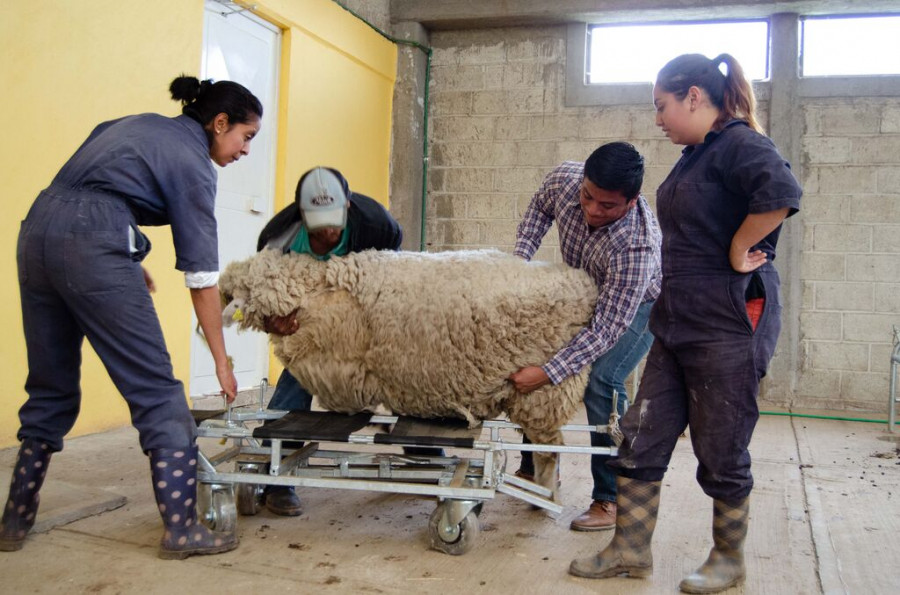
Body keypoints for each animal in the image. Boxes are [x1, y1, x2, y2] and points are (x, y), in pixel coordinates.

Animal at [217, 248, 596, 498]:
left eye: (241, 293)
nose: (221, 294)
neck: (317, 291)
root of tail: (582, 282)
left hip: (543, 391)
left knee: (550, 448)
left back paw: (545, 492)